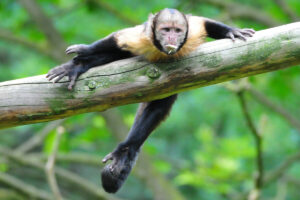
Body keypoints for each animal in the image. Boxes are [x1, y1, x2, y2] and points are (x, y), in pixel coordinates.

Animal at [47, 8, 255, 193]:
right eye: (166, 30)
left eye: (177, 31)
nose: (171, 38)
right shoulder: (141, 38)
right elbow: (116, 40)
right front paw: (83, 51)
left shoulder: (190, 33)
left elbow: (204, 23)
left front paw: (231, 31)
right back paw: (79, 66)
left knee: (158, 107)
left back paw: (127, 149)